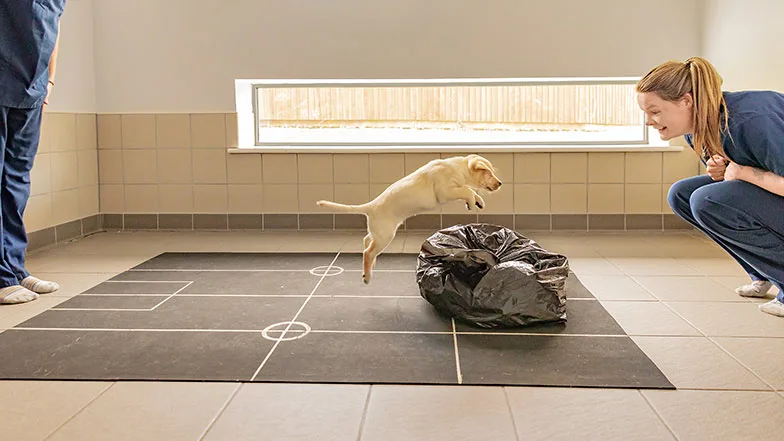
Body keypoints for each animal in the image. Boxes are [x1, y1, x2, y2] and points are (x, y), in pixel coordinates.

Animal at [316, 155, 502, 284]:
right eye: (489, 173)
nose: (500, 183)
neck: (458, 167)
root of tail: (371, 206)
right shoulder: (445, 191)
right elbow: (466, 190)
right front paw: (472, 200)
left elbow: (471, 191)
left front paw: (478, 202)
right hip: (385, 235)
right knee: (367, 252)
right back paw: (367, 276)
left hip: (378, 232)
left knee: (366, 241)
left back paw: (371, 266)